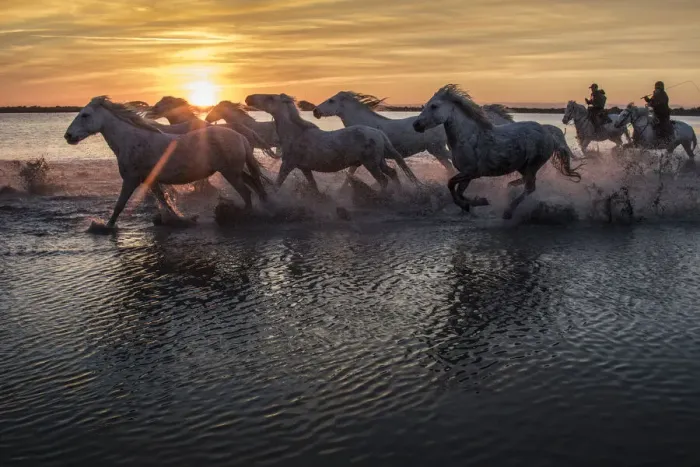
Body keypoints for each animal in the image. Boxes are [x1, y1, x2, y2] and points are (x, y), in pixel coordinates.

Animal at [63, 96, 267, 229]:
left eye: (85, 115)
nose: (68, 136)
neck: (130, 140)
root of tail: (241, 137)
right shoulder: (150, 180)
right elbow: (164, 201)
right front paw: (181, 220)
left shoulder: (130, 179)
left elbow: (119, 205)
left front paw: (105, 226)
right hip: (236, 171)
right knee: (255, 185)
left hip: (231, 173)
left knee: (247, 193)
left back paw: (245, 215)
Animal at [245, 93, 419, 192]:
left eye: (270, 98)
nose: (248, 98)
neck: (295, 134)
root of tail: (379, 133)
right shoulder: (305, 168)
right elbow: (314, 187)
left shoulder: (288, 164)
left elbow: (277, 185)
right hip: (379, 161)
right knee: (393, 173)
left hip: (371, 163)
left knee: (384, 180)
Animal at [413, 85, 581, 219]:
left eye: (434, 106)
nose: (416, 125)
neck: (467, 137)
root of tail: (547, 131)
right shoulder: (467, 174)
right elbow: (457, 191)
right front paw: (475, 203)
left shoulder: (471, 172)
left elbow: (450, 185)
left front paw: (476, 202)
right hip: (523, 166)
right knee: (526, 182)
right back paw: (509, 188)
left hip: (533, 164)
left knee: (530, 187)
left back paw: (508, 211)